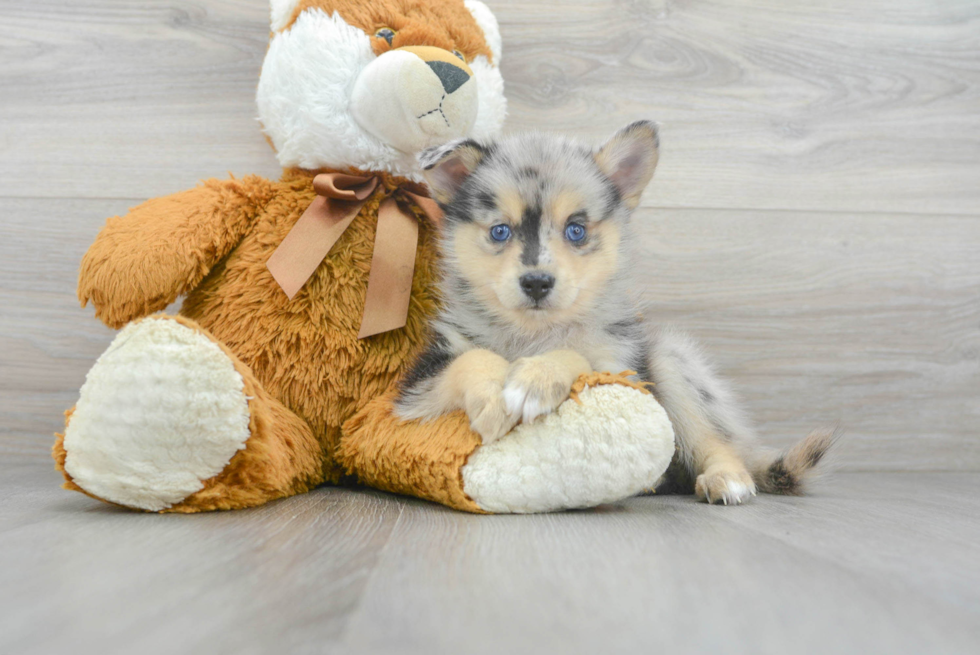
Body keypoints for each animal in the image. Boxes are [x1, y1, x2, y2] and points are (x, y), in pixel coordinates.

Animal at [394, 120, 840, 504]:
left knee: (716, 441)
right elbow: (471, 358)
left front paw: (536, 378)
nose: (537, 283)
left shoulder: (620, 371)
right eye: (499, 231)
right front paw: (493, 397)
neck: (534, 333)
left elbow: (574, 354)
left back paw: (726, 478)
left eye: (576, 230)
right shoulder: (417, 390)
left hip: (672, 364)